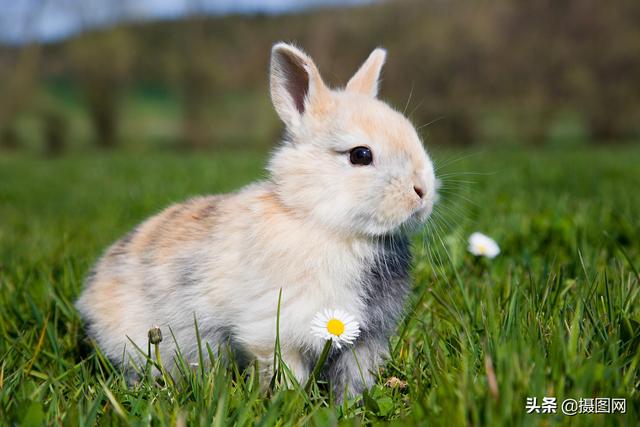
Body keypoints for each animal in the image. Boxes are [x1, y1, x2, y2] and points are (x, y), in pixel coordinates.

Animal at [74, 43, 436, 402]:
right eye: (360, 155)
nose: (423, 192)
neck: (321, 223)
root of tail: (90, 296)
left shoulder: (365, 339)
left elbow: (354, 377)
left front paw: (350, 405)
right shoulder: (275, 330)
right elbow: (285, 370)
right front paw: (288, 401)